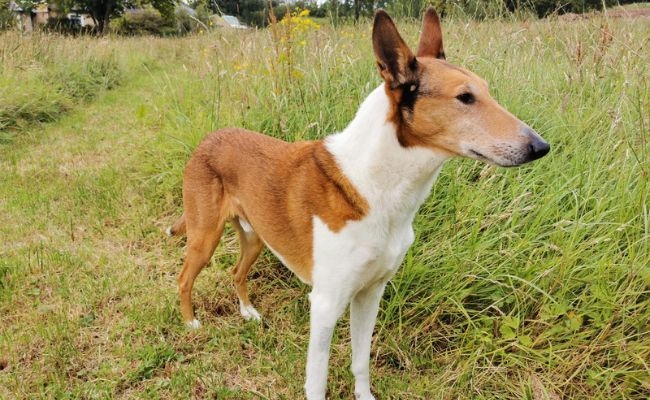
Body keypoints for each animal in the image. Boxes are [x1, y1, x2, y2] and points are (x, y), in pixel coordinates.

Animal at [166, 7, 548, 400]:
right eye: (465, 98)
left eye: (485, 91)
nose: (541, 146)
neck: (376, 187)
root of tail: (209, 138)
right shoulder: (325, 304)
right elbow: (316, 381)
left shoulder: (370, 293)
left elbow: (360, 360)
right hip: (204, 238)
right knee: (183, 278)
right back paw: (191, 323)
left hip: (256, 237)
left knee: (236, 272)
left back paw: (247, 312)